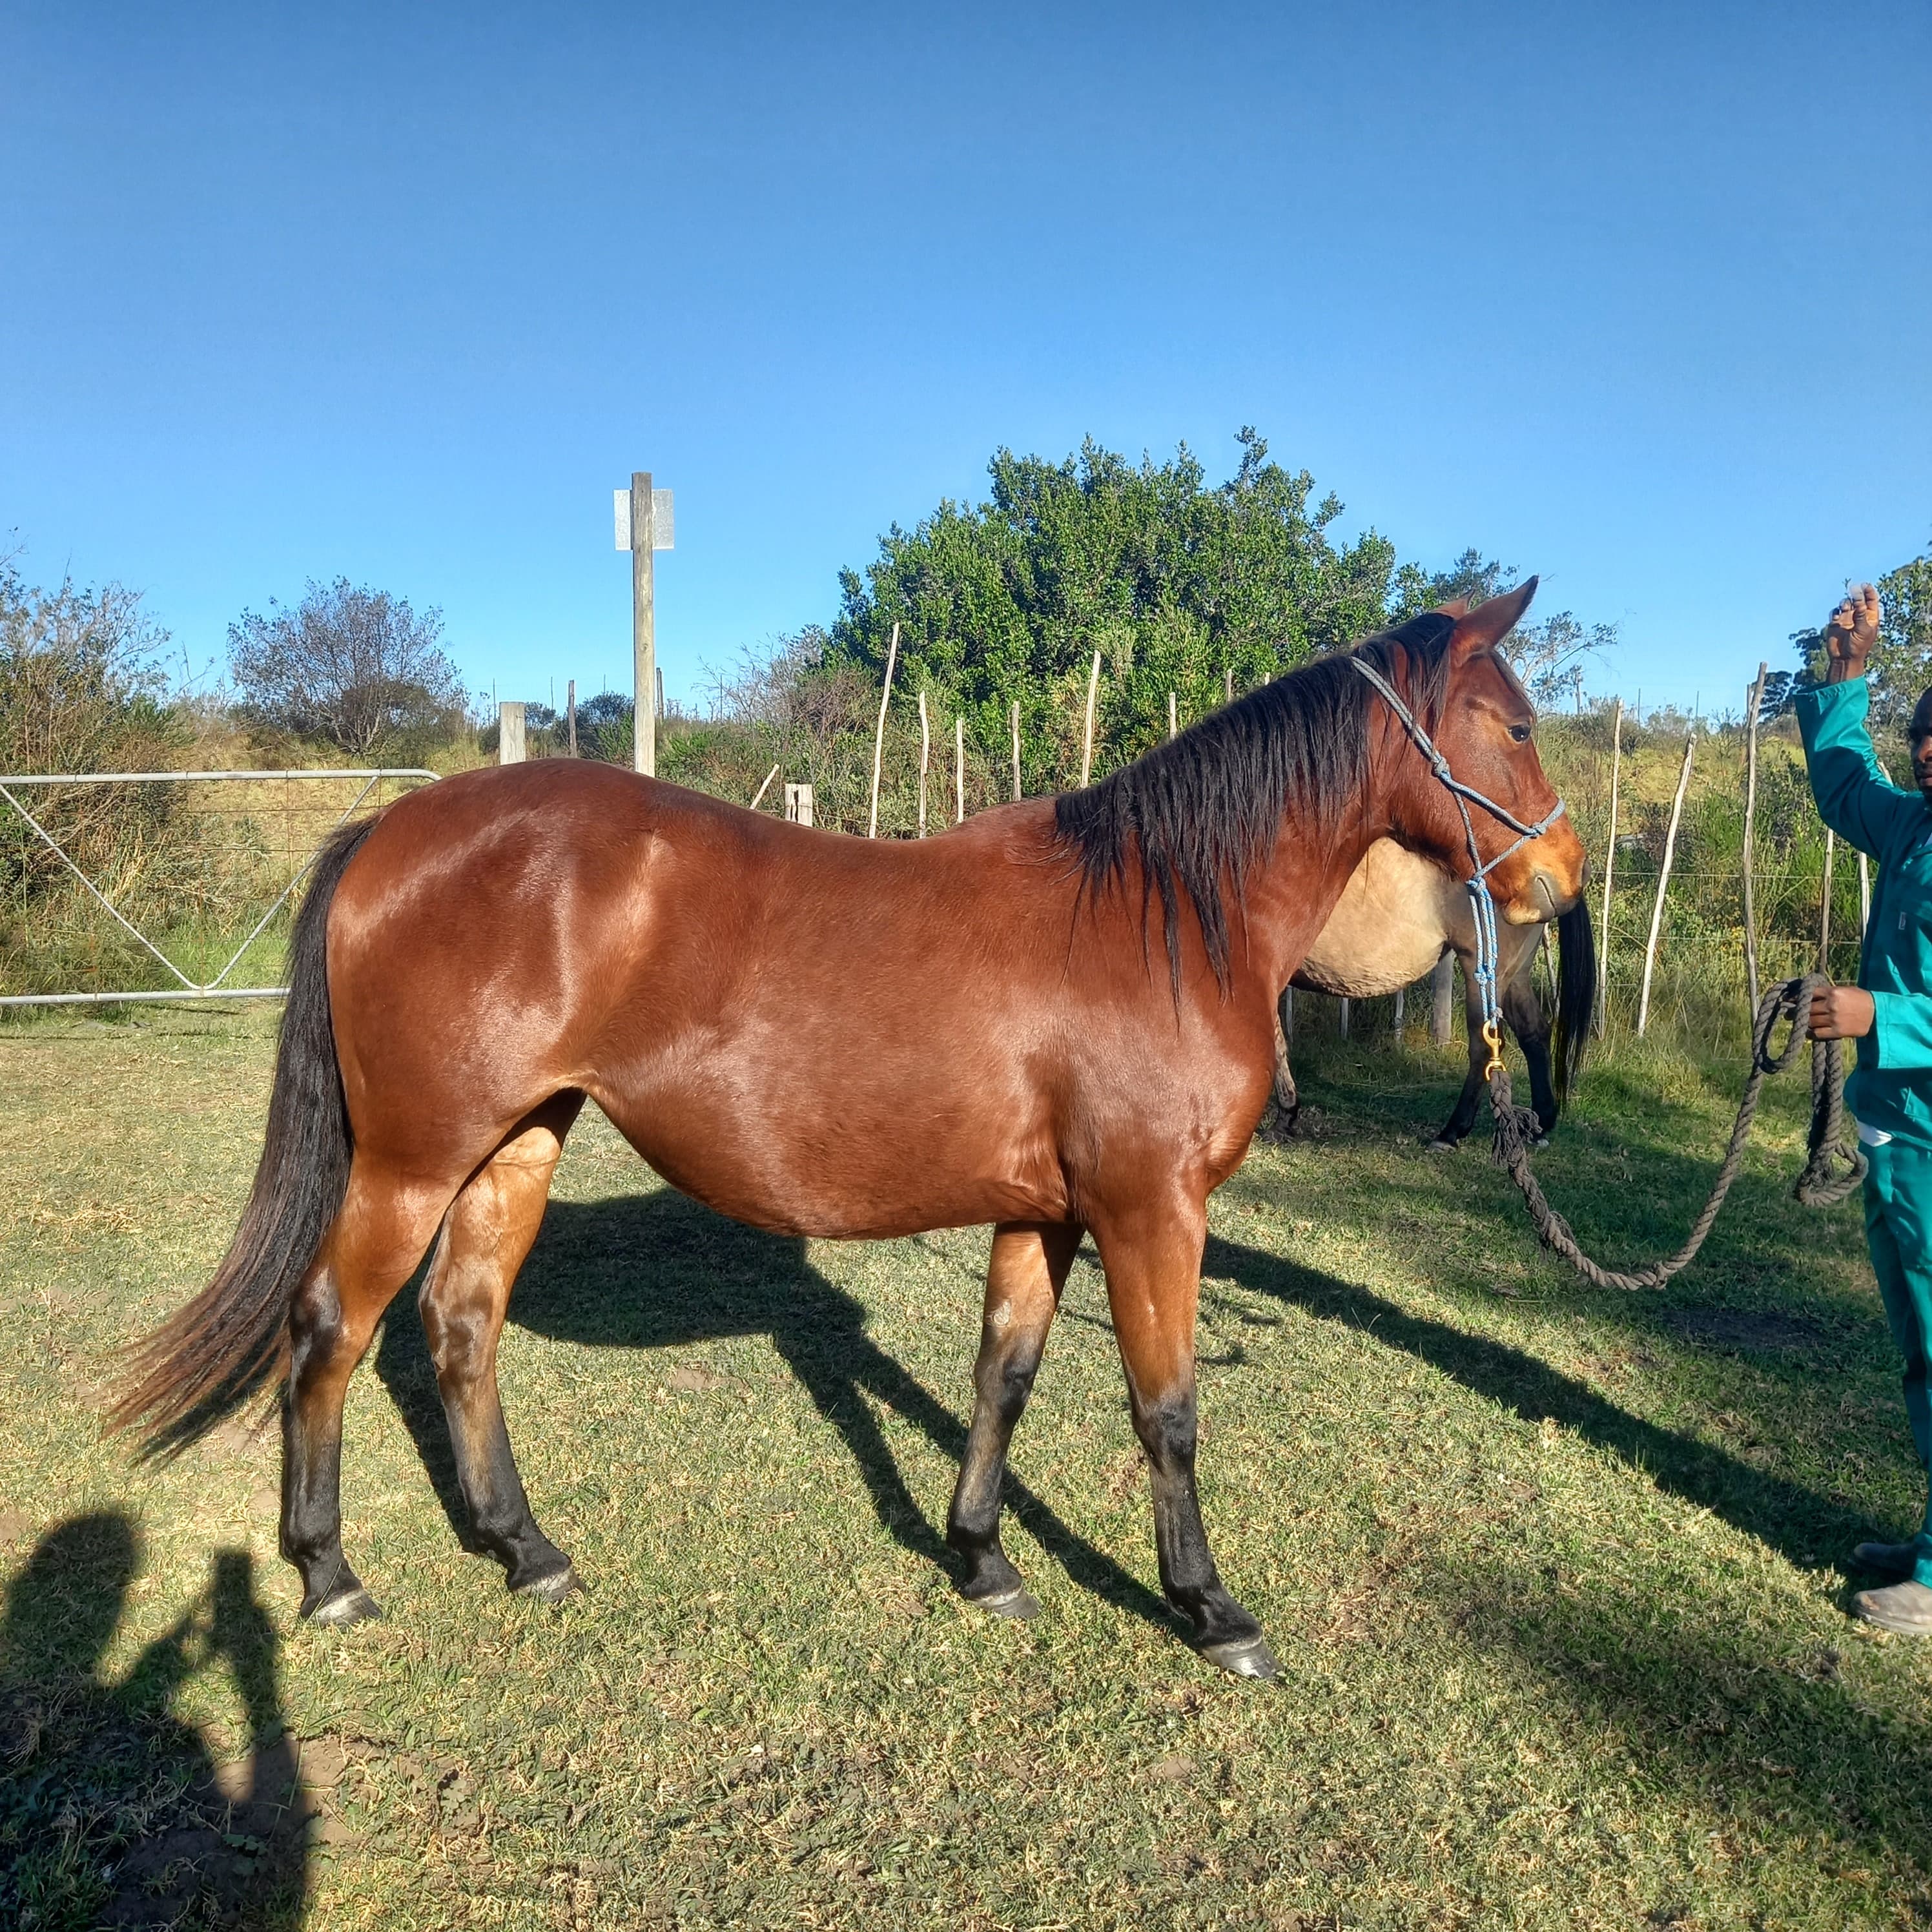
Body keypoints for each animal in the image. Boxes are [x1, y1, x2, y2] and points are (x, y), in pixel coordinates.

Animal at [1272, 836, 1596, 1146]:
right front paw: (1287, 1114)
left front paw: (1285, 1113)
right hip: (1514, 976)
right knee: (1535, 1034)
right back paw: (1542, 1123)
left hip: (1485, 974)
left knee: (1485, 1045)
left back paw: (1451, 1133)